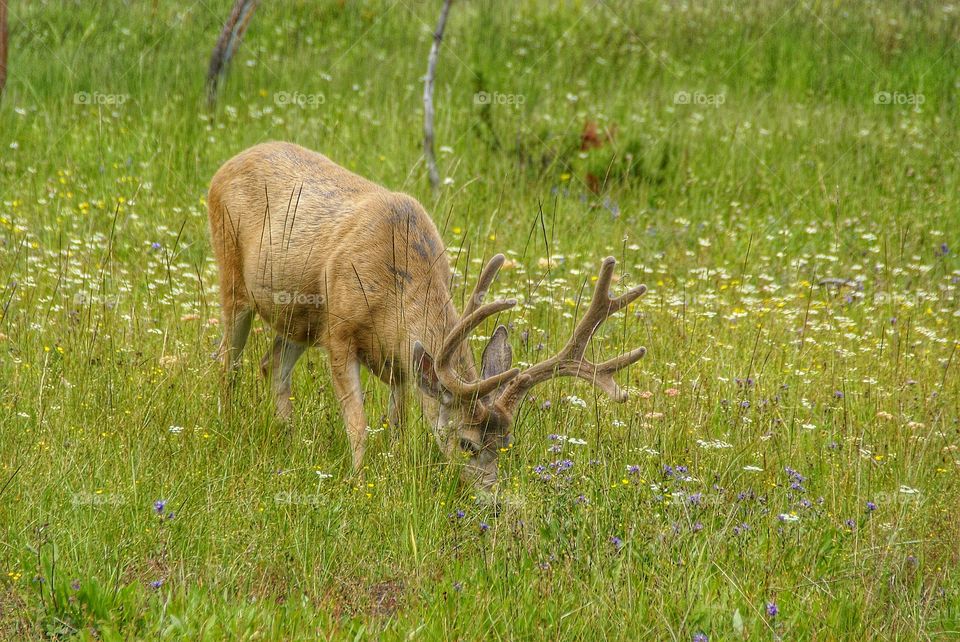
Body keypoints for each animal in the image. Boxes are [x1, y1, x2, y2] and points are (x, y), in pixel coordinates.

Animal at [207, 141, 647, 489]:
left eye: (507, 443)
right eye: (468, 442)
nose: (492, 500)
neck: (392, 295)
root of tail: (227, 164)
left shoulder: (401, 360)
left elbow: (398, 421)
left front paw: (394, 463)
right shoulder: (340, 332)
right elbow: (358, 422)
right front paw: (360, 478)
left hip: (300, 319)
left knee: (272, 363)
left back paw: (288, 435)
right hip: (234, 278)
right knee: (227, 360)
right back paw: (225, 423)